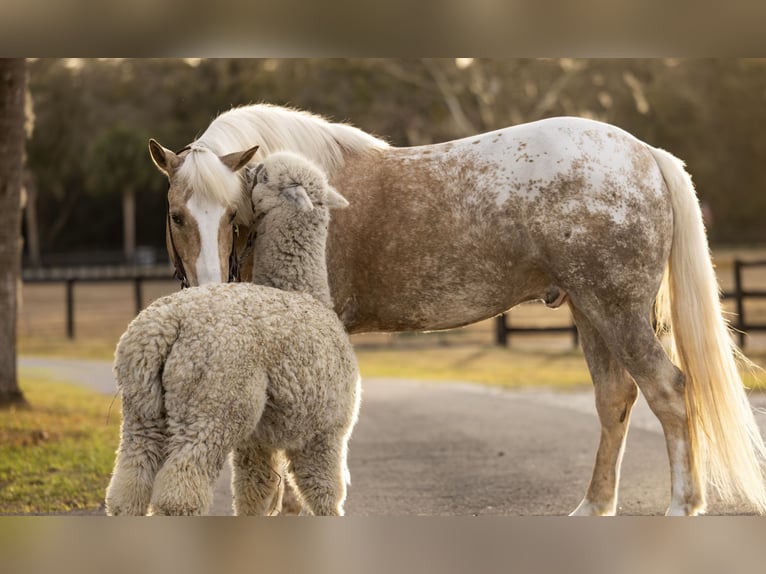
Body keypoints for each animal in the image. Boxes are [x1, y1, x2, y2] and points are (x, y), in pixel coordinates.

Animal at [148, 103, 766, 516]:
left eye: (232, 215)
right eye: (177, 215)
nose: (205, 288)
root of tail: (646, 155)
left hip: (619, 312)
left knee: (669, 392)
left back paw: (681, 507)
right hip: (592, 312)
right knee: (615, 400)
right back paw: (592, 508)